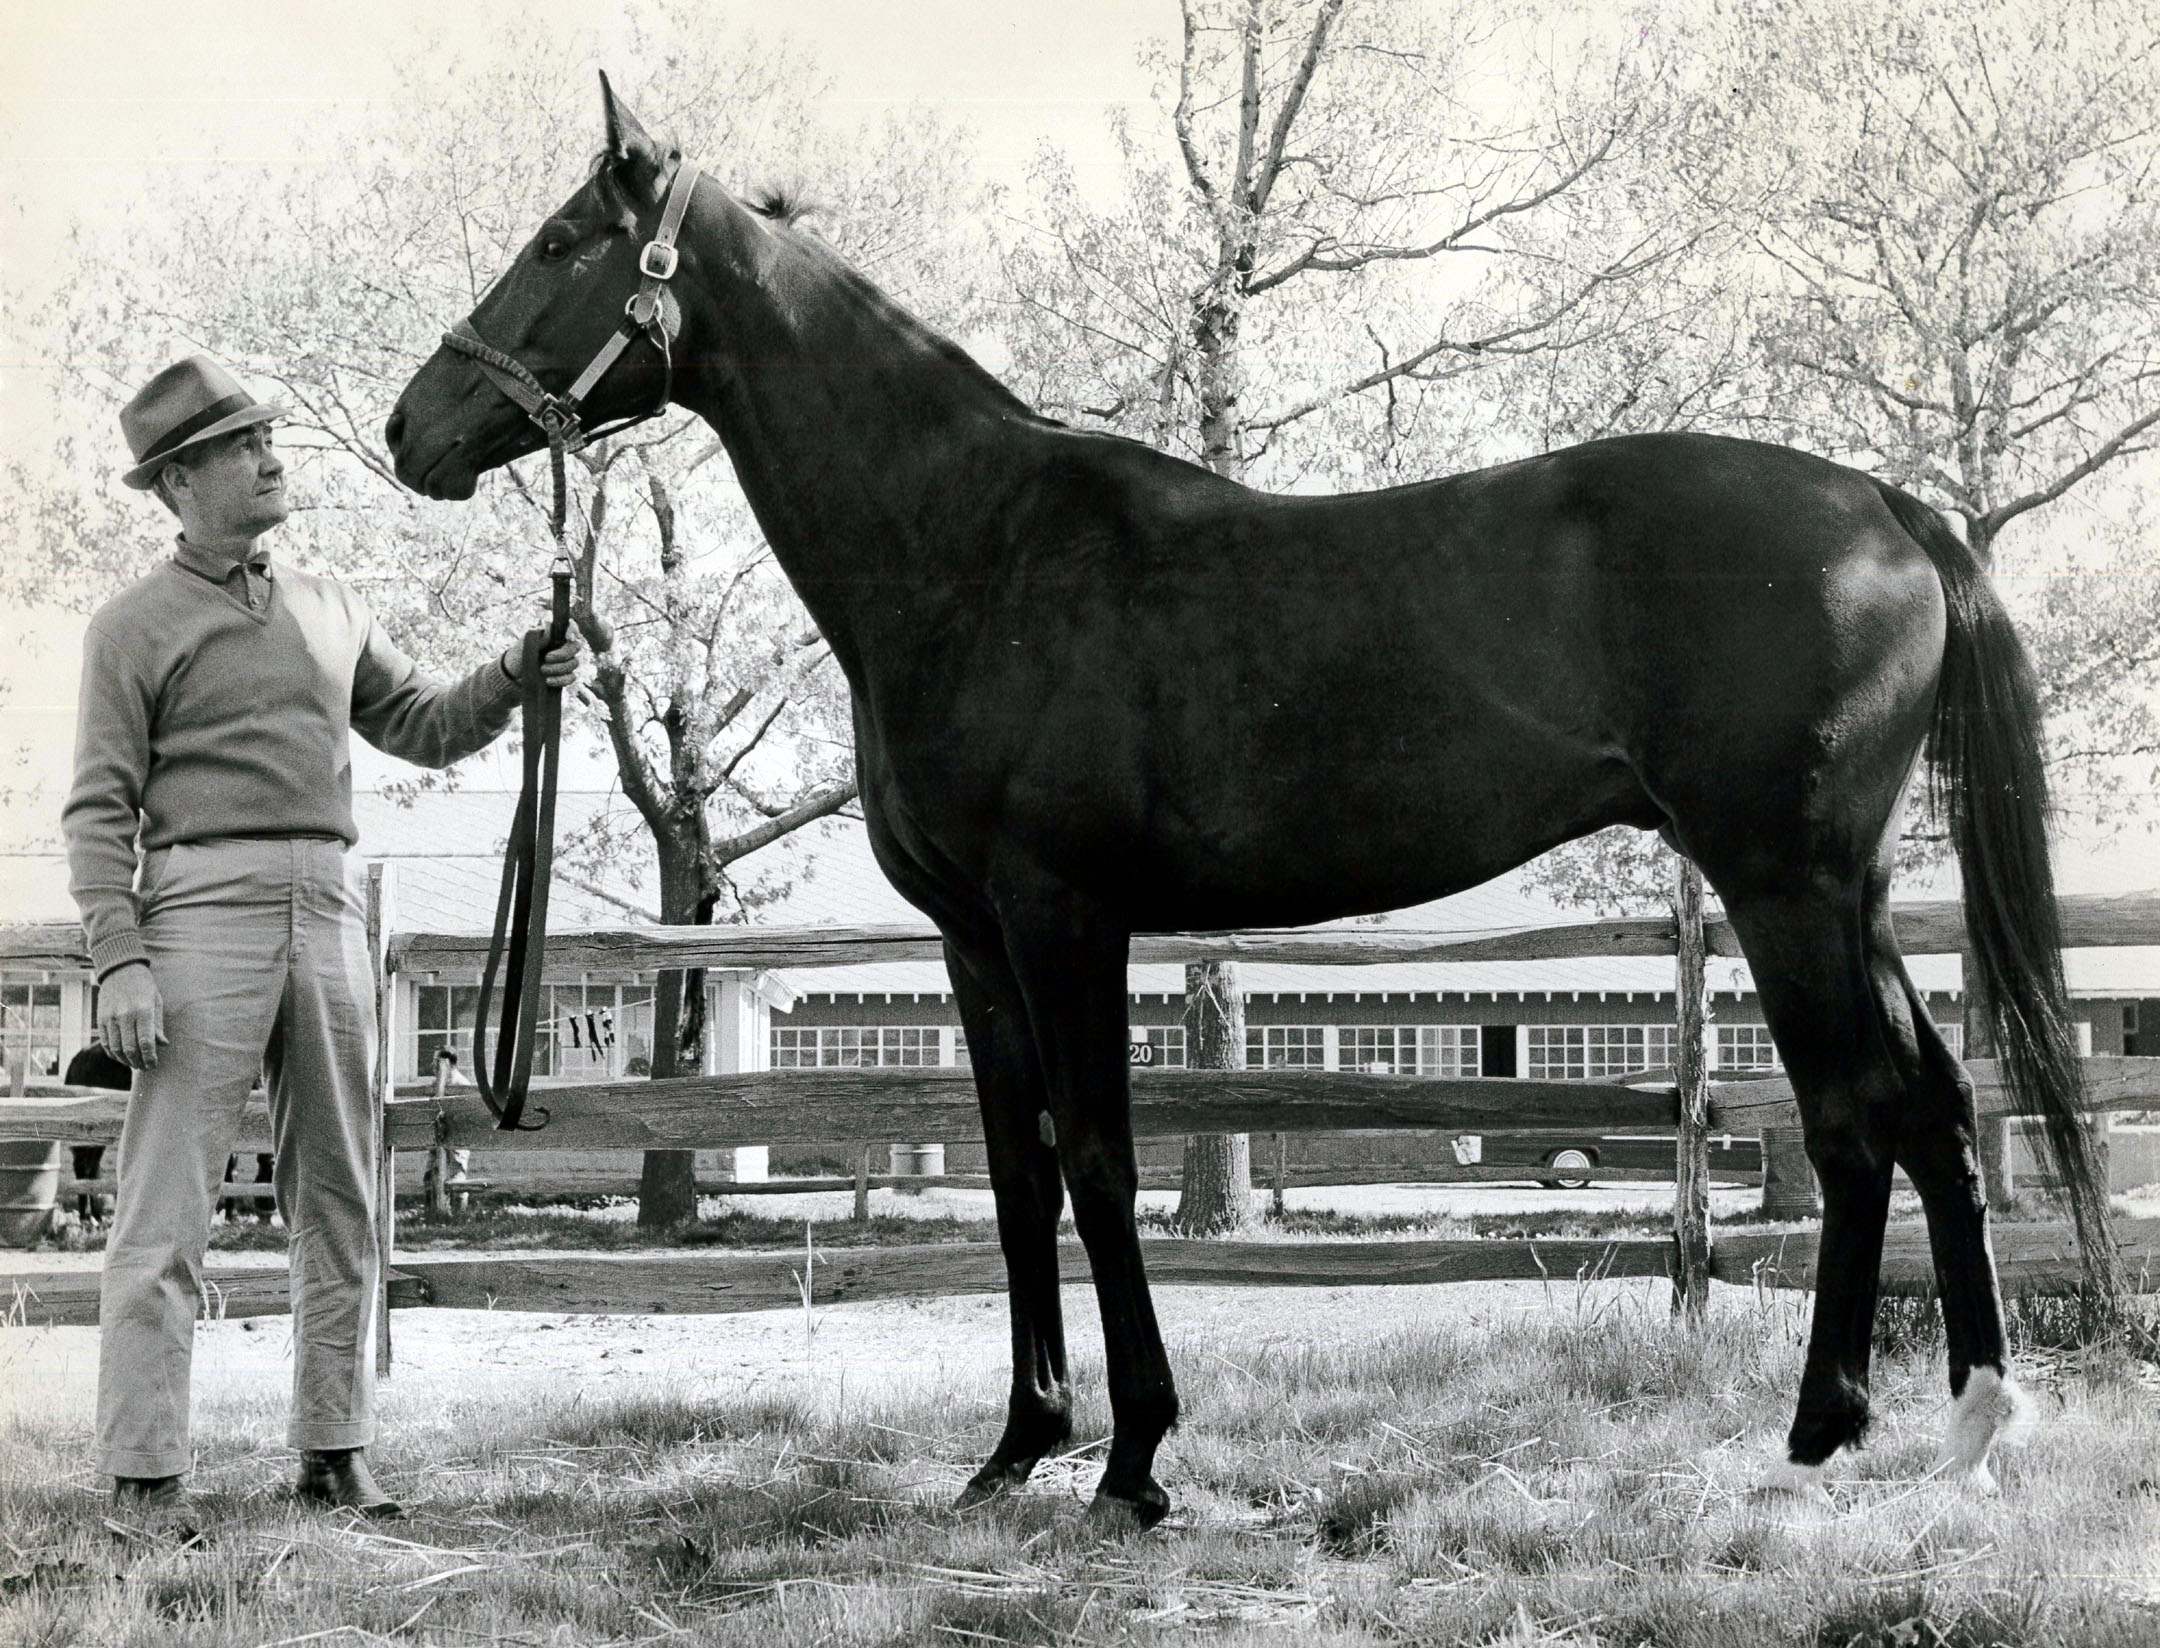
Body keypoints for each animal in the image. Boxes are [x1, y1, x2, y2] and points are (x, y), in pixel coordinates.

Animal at [386, 78, 2113, 1526]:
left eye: (557, 241)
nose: (414, 430)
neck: (978, 548)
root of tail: (1886, 508)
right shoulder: (971, 939)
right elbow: (1015, 1174)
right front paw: (1016, 1450)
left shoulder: (1064, 915)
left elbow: (1097, 1159)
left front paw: (1132, 1463)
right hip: (1846, 892)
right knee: (1936, 1109)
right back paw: (1969, 1421)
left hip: (1782, 884)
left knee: (1854, 1120)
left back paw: (1828, 1432)